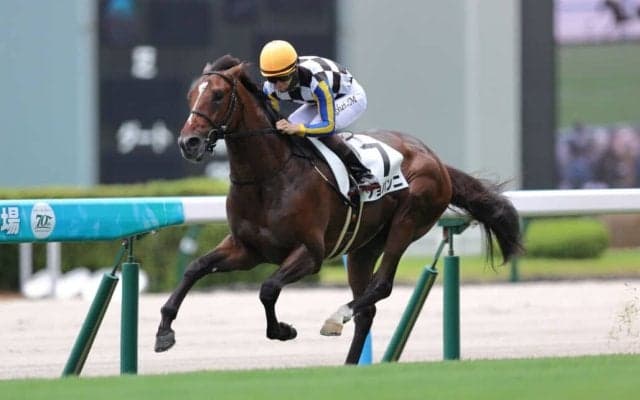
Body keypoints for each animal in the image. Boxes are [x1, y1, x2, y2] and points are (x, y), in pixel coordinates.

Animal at [154, 55, 523, 364]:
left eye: (217, 96)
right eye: (191, 96)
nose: (188, 143)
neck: (268, 176)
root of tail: (436, 160)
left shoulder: (310, 253)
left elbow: (268, 289)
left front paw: (283, 330)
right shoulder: (247, 249)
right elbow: (196, 268)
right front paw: (164, 331)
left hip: (408, 221)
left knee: (381, 286)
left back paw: (336, 317)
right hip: (364, 246)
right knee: (367, 309)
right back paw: (349, 364)